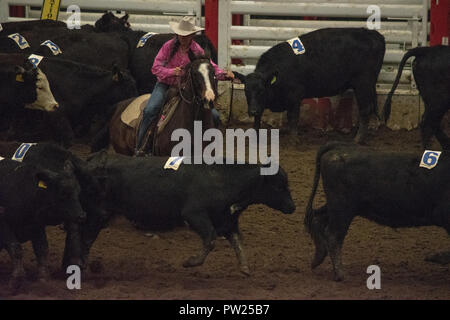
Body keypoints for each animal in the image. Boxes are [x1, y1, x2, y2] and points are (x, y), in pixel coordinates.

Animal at [0, 158, 85, 290]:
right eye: (63, 193)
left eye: (78, 192)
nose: (81, 216)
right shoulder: (3, 224)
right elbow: (16, 248)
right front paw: (17, 279)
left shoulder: (36, 225)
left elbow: (42, 249)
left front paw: (43, 278)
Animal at [85, 152, 298, 276]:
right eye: (279, 186)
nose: (292, 207)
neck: (225, 180)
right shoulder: (194, 214)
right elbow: (210, 240)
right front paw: (191, 262)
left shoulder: (226, 220)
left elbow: (237, 241)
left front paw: (245, 268)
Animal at [234, 28, 384, 143]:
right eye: (246, 90)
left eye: (261, 90)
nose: (252, 111)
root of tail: (374, 34)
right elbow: (258, 119)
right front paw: (255, 135)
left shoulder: (295, 96)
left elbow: (293, 117)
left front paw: (294, 139)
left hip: (363, 83)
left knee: (365, 109)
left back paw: (358, 138)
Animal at [306, 142, 450, 280]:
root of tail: (340, 147)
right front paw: (435, 257)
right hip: (342, 207)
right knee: (333, 235)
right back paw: (340, 274)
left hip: (342, 207)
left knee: (318, 218)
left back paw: (318, 257)